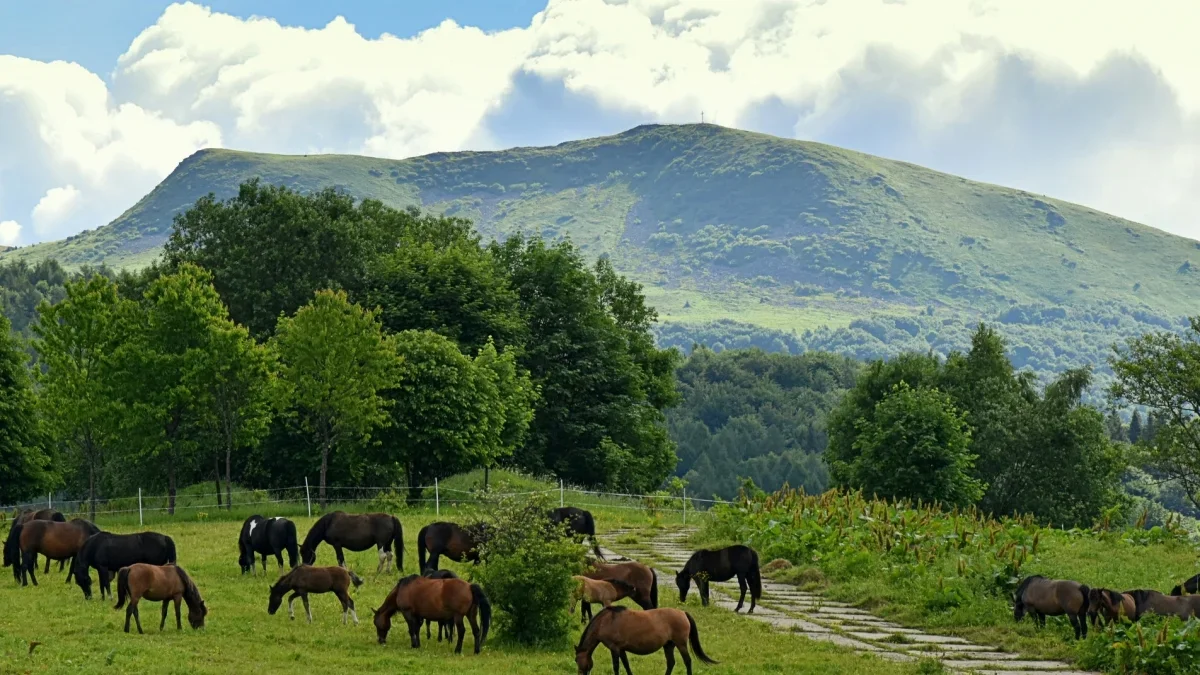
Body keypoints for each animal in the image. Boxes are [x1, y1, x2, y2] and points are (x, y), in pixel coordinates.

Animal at [576, 605, 715, 672]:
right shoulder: (621, 649)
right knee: (671, 663)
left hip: (681, 644)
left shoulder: (614, 648)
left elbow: (616, 667)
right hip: (668, 645)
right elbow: (626, 665)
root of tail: (683, 613)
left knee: (687, 661)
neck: (605, 622)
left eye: (576, 660)